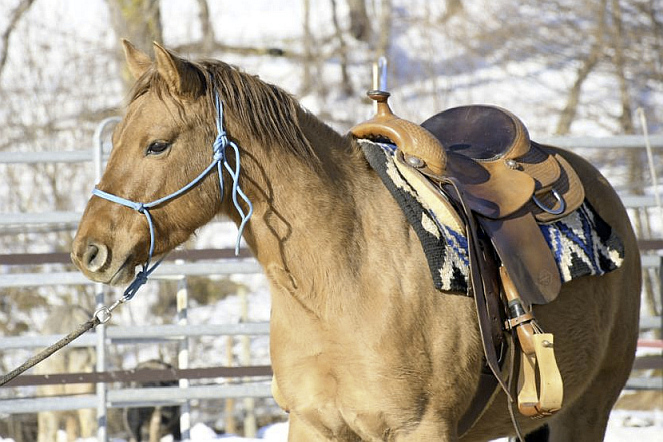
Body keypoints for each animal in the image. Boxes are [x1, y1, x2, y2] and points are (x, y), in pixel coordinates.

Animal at [71, 39, 644, 440]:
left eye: (157, 145)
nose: (88, 251)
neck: (344, 283)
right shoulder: (312, 424)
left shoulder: (422, 430)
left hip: (587, 412)